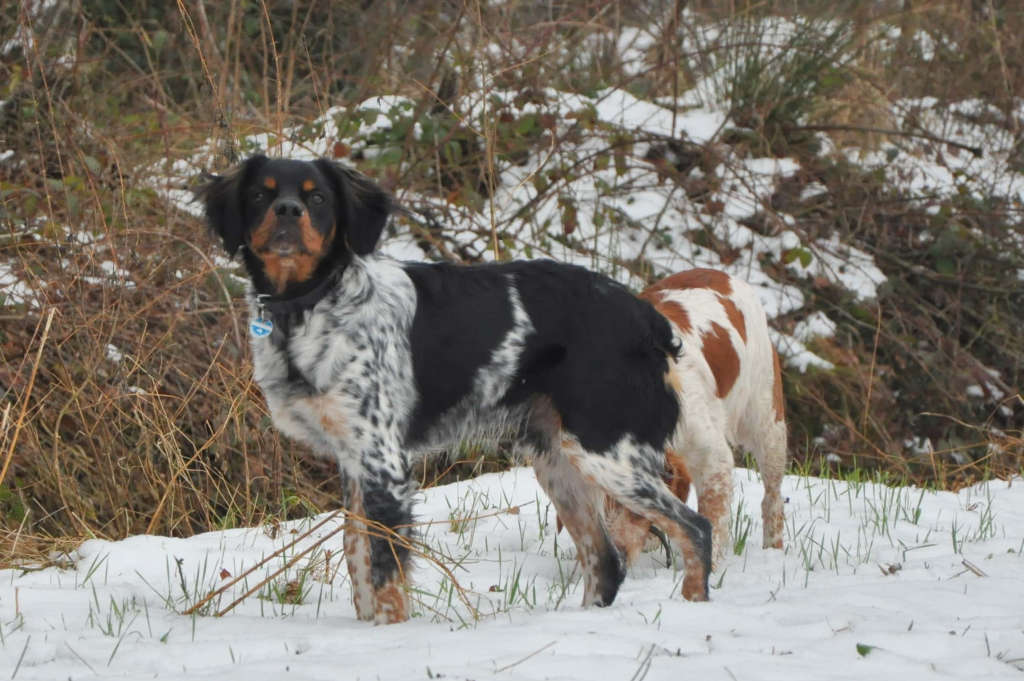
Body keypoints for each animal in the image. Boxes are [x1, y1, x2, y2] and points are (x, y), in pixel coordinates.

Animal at [199, 155, 712, 622]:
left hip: (606, 449)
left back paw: (693, 605)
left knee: (696, 527)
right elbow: (357, 557)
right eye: (260, 194)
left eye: (318, 197)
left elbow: (385, 577)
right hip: (557, 457)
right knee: (605, 561)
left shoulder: (384, 464)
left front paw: (386, 635)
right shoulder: (354, 462)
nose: (287, 211)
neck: (311, 306)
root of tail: (645, 315)